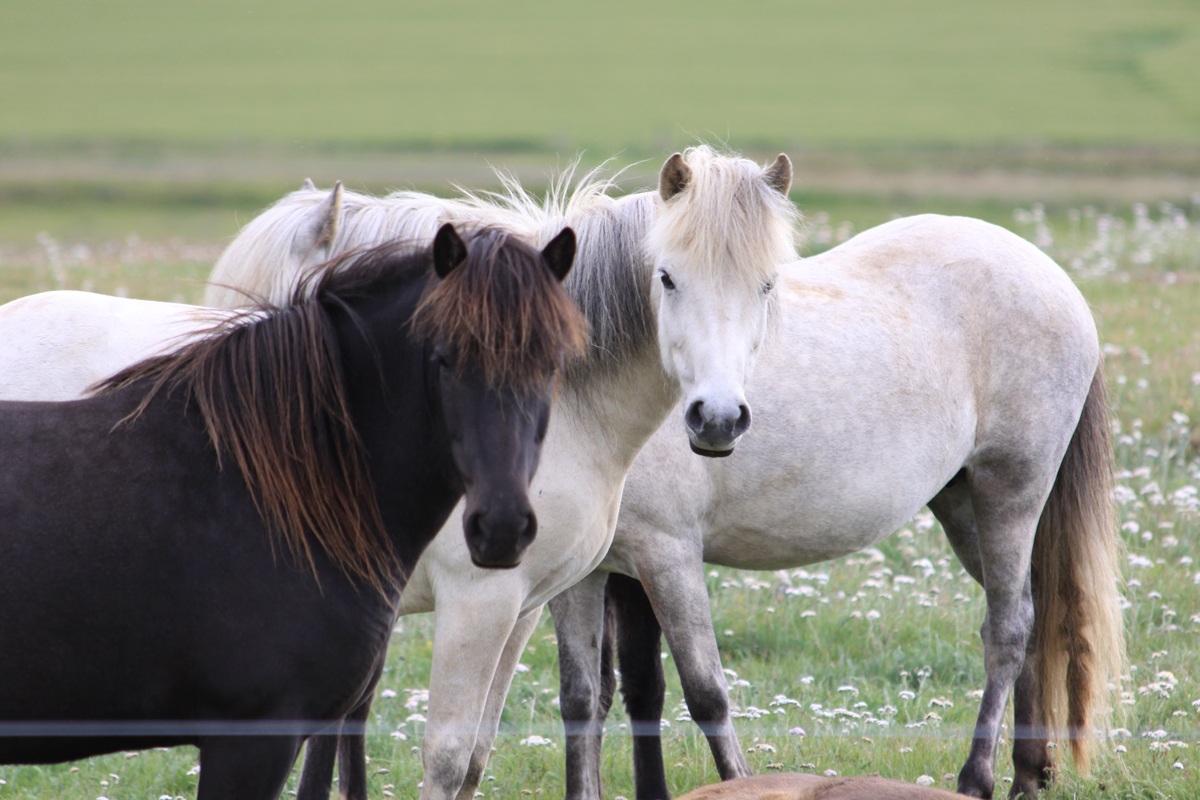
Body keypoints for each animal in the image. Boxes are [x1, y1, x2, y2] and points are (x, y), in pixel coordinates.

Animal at [551, 214, 1125, 800]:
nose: (718, 421)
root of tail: (1054, 277)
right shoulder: (595, 573)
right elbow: (595, 696)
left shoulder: (667, 555)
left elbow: (705, 693)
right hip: (965, 509)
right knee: (1030, 616)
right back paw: (1029, 774)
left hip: (1009, 494)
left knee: (1009, 628)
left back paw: (977, 777)